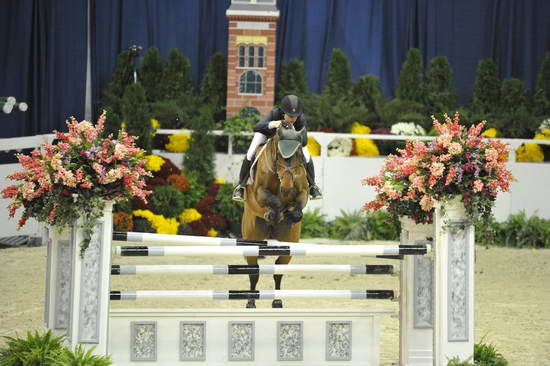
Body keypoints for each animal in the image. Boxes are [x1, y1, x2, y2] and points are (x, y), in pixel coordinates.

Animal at [242, 122, 310, 308]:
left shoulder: (303, 191)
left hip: (287, 246)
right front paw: (274, 214)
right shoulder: (259, 192)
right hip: (251, 241)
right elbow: (274, 202)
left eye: (299, 154)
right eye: (279, 155)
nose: (286, 188)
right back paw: (251, 302)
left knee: (278, 271)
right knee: (254, 272)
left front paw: (291, 215)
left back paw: (277, 301)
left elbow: (299, 203)